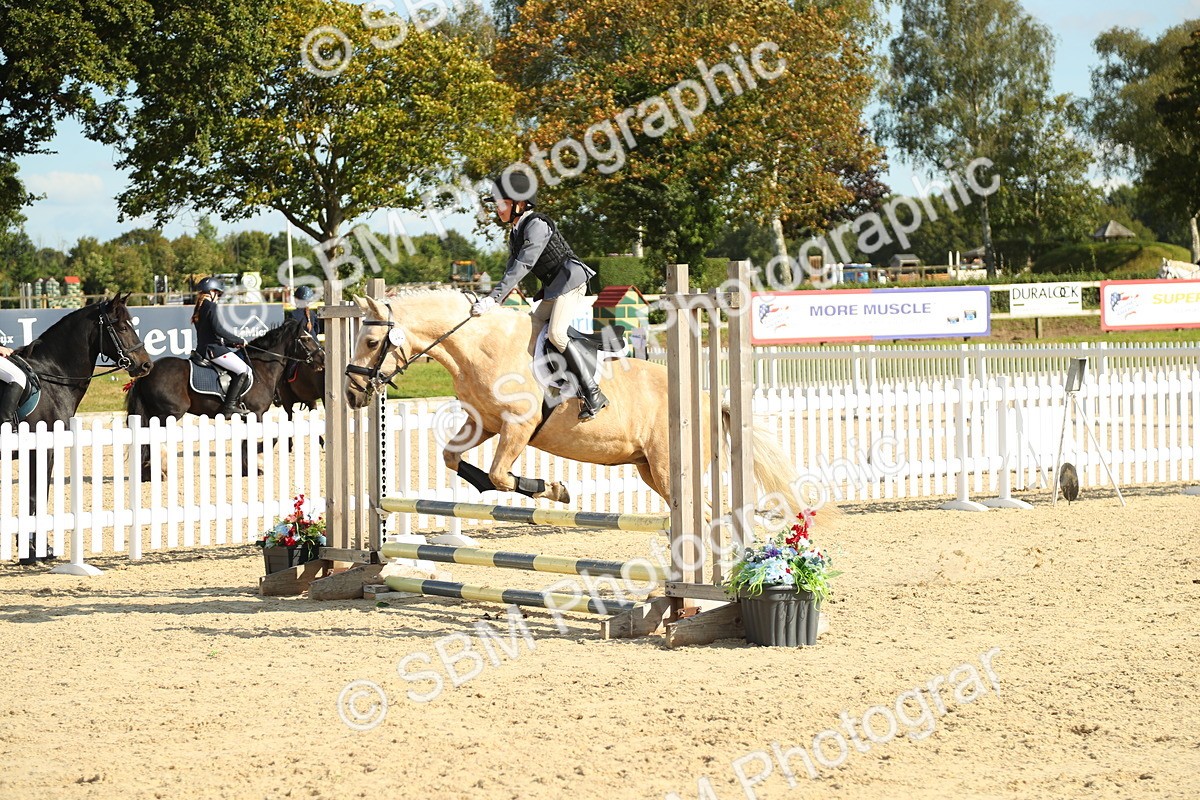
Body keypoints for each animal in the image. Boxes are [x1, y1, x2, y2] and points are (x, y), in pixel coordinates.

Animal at [7, 293, 154, 563]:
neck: (52, 378)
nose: (146, 365)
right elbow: (36, 496)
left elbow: (33, 496)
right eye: (122, 327)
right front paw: (33, 551)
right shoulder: (42, 451)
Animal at [125, 317, 323, 478]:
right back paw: (156, 472)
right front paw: (255, 468)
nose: (322, 358)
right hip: (168, 414)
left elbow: (245, 443)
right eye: (306, 338)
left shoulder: (248, 417)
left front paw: (247, 470)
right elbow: (256, 442)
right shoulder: (256, 414)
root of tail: (148, 373)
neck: (262, 368)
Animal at [342, 290, 808, 520]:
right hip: (650, 470)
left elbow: (501, 475)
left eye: (372, 341)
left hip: (668, 468)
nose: (350, 393)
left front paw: (554, 489)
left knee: (706, 512)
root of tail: (712, 399)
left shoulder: (518, 425)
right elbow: (456, 460)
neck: (480, 347)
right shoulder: (484, 423)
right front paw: (533, 488)